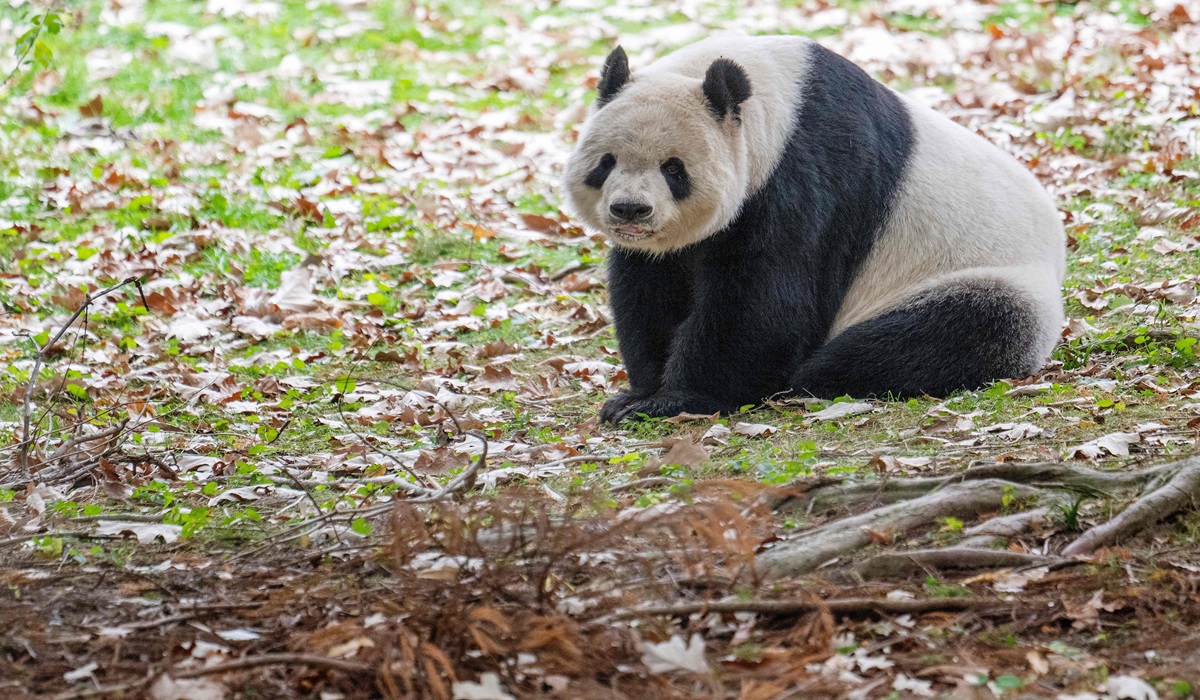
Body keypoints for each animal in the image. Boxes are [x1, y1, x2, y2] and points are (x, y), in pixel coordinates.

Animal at [561, 35, 1066, 424]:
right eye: (606, 163)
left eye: (673, 169)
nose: (630, 210)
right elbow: (651, 289)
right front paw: (637, 394)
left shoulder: (805, 180)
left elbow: (764, 300)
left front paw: (678, 399)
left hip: (982, 276)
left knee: (944, 333)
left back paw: (816, 376)